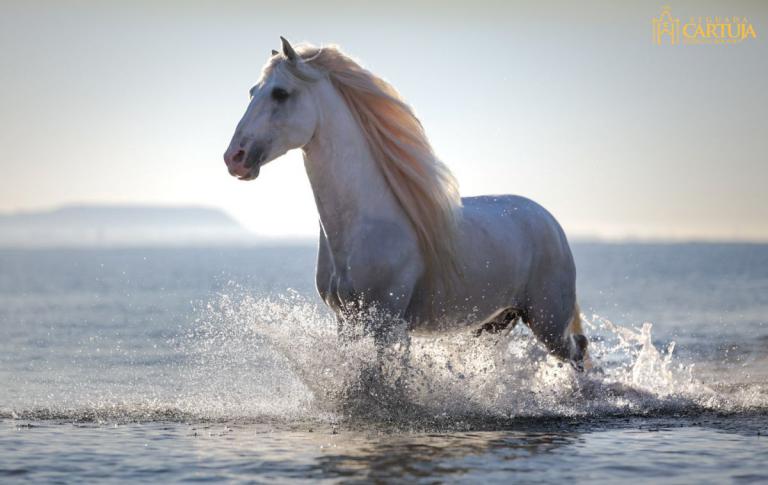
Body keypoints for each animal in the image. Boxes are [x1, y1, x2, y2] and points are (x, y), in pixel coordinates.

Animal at [223, 37, 589, 371]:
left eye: (280, 93)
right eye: (252, 92)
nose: (234, 158)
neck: (363, 225)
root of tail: (548, 220)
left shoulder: (387, 325)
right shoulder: (346, 322)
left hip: (548, 323)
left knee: (579, 351)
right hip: (495, 323)